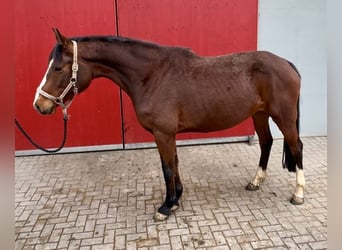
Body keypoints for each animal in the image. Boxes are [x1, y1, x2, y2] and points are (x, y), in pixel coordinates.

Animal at [32, 27, 304, 221]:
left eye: (58, 68)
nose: (39, 105)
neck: (152, 75)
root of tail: (286, 63)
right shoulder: (168, 134)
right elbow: (174, 162)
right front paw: (177, 199)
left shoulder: (163, 133)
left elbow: (167, 169)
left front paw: (166, 206)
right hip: (260, 114)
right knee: (266, 142)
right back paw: (255, 182)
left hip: (283, 117)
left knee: (296, 146)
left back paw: (298, 194)